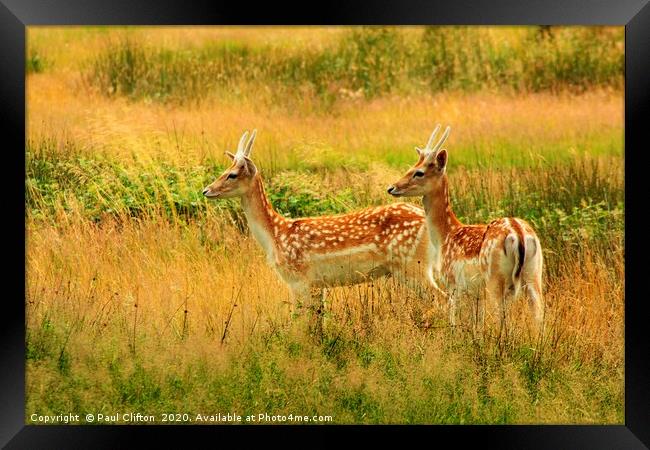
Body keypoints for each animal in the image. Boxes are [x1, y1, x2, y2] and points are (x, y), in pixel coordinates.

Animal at [200, 128, 438, 336]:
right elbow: (317, 324)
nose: (206, 190)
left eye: (231, 175)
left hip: (412, 265)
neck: (275, 235)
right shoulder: (317, 285)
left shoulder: (299, 280)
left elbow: (300, 322)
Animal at [388, 125, 544, 332]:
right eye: (410, 167)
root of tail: (518, 233)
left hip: (495, 279)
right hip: (534, 273)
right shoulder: (474, 292)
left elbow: (453, 319)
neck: (445, 236)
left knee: (499, 319)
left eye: (419, 172)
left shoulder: (453, 282)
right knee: (539, 315)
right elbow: (476, 323)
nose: (391, 188)